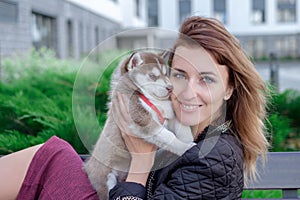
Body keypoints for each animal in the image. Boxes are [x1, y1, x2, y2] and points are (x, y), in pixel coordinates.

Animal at [83, 51, 195, 198]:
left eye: (166, 74)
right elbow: (168, 136)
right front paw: (185, 147)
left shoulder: (169, 113)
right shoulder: (141, 119)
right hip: (106, 179)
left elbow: (181, 124)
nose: (171, 88)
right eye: (153, 76)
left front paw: (189, 139)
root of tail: (87, 166)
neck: (150, 97)